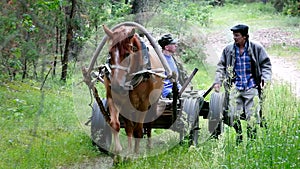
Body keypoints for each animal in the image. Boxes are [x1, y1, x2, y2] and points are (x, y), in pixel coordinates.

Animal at [102, 24, 164, 154]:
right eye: (110, 53)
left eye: (127, 54)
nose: (116, 85)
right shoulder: (114, 99)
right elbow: (116, 124)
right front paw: (120, 149)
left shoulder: (144, 103)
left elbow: (139, 130)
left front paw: (135, 153)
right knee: (130, 126)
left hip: (154, 102)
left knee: (149, 123)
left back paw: (148, 146)